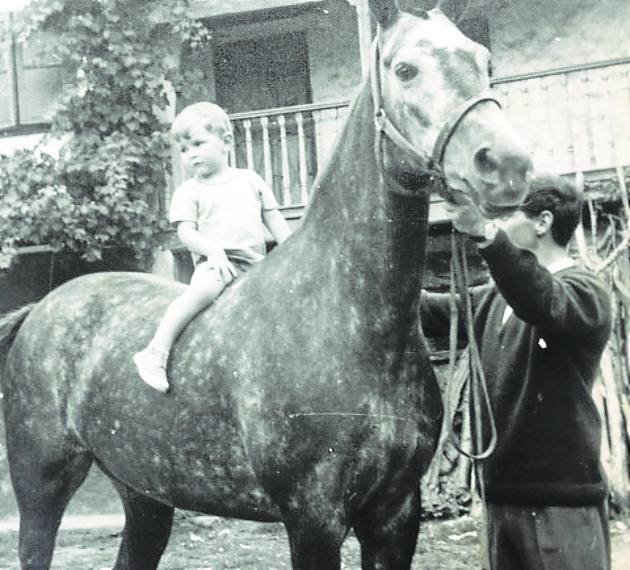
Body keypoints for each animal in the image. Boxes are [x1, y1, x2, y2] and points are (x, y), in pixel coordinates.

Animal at [0, 2, 532, 564]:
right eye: (405, 69)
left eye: (485, 60)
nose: (506, 165)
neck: (344, 317)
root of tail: (39, 311)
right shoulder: (312, 518)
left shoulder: (395, 514)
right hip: (43, 488)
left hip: (144, 494)